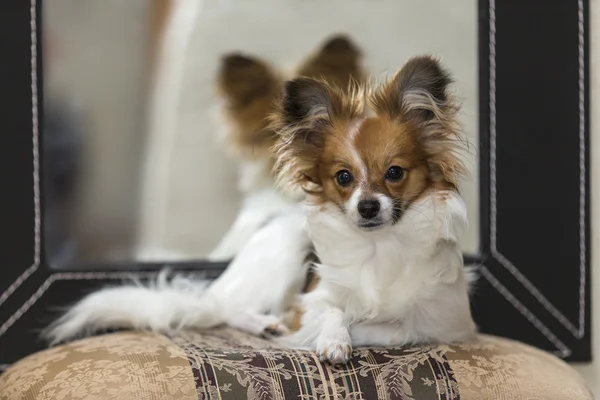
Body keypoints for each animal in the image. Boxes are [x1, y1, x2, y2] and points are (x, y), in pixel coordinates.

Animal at [270, 55, 476, 366]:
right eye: (343, 177)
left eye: (394, 172)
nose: (367, 206)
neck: (379, 245)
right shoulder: (311, 301)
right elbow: (332, 310)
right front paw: (334, 339)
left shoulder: (444, 323)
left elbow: (394, 328)